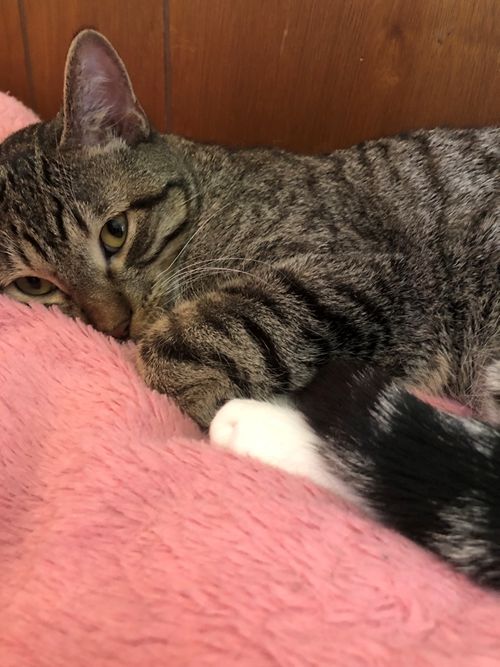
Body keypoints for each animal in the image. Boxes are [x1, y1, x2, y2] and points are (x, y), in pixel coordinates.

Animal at [0, 30, 498, 585]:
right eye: (33, 285)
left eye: (115, 232)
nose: (113, 325)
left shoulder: (359, 271)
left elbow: (186, 343)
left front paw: (203, 393)